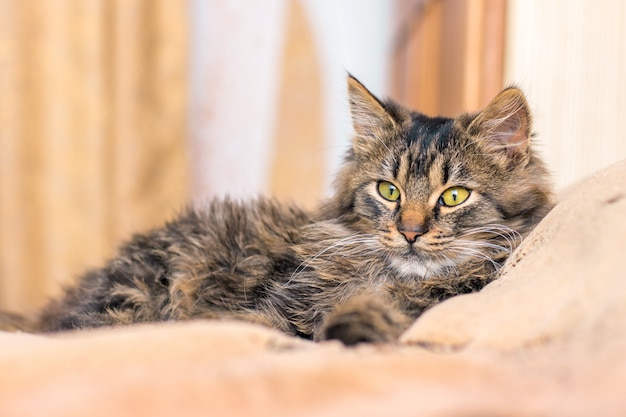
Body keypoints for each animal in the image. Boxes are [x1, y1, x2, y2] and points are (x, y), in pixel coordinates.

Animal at [6, 75, 552, 344]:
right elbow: (267, 326)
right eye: (389, 191)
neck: (389, 276)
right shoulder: (272, 307)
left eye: (454, 196)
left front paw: (361, 325)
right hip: (135, 295)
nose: (411, 232)